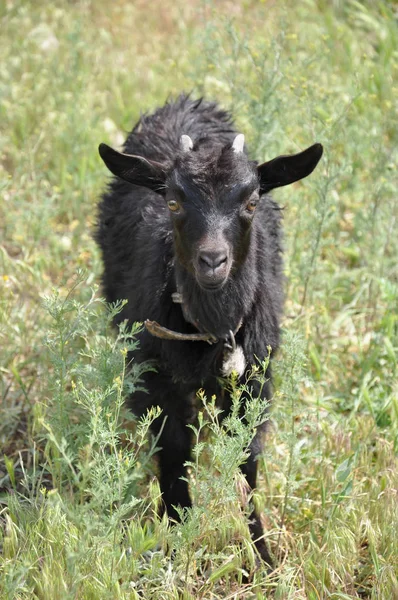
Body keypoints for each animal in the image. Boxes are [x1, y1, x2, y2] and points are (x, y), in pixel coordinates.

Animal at [97, 95, 324, 568]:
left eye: (251, 201)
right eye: (172, 202)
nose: (213, 261)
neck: (213, 330)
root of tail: (184, 102)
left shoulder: (256, 378)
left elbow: (247, 460)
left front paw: (262, 555)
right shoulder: (155, 377)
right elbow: (174, 453)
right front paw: (176, 541)